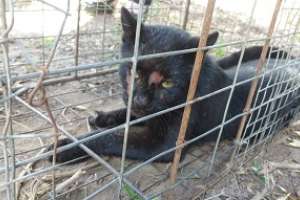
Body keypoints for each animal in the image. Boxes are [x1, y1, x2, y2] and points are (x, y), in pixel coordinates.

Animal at [49, 8, 300, 164]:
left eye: (168, 83)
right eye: (135, 72)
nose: (141, 99)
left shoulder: (163, 145)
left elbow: (112, 137)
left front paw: (64, 148)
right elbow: (127, 115)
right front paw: (104, 117)